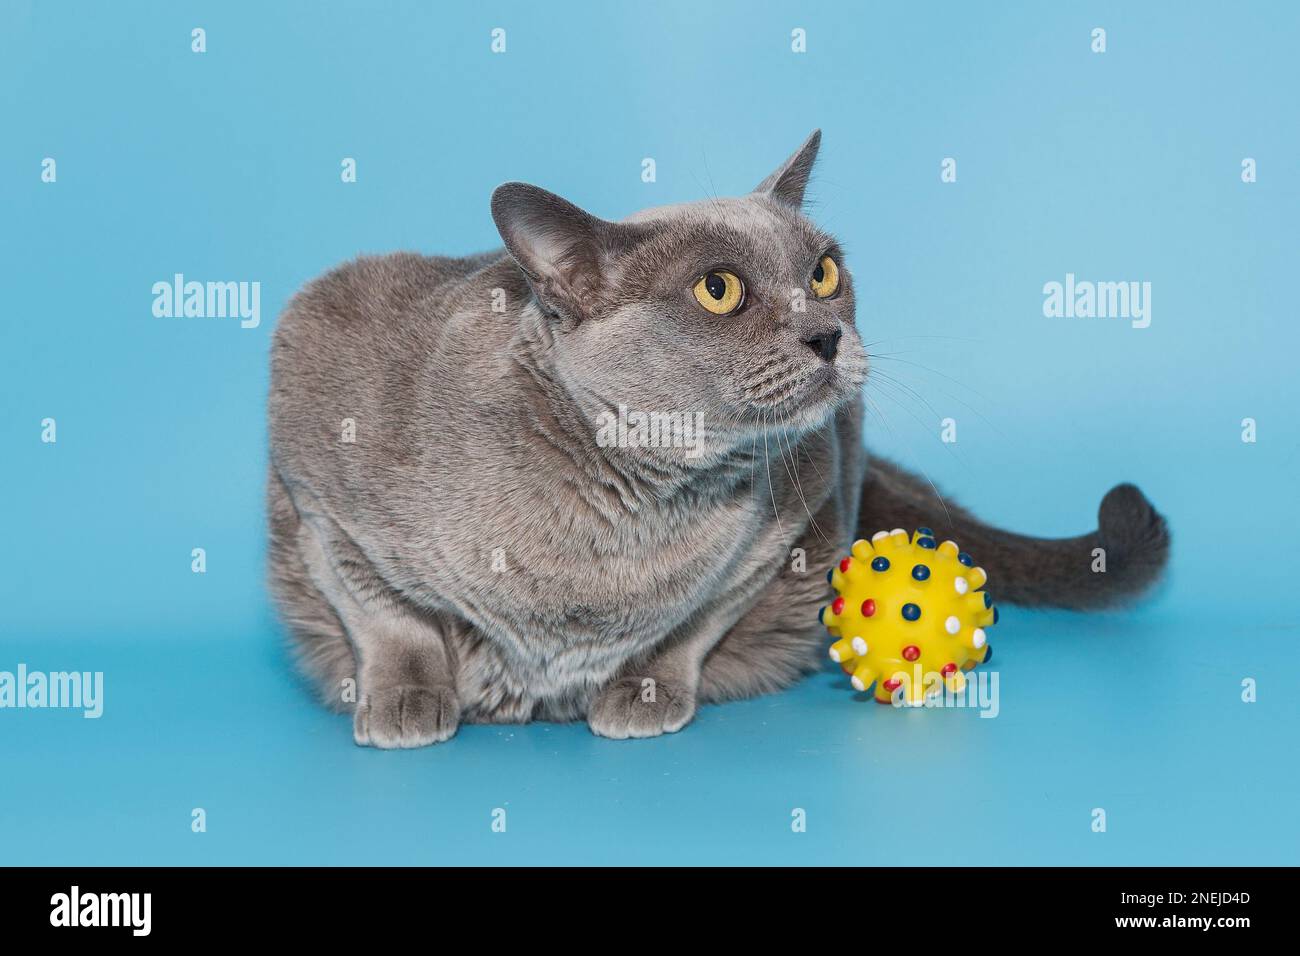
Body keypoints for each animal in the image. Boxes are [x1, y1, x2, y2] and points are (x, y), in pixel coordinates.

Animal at [263, 132, 1170, 749]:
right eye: (719, 291)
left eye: (825, 273)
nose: (825, 335)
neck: (635, 502)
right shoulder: (317, 478)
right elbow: (389, 614)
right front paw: (408, 700)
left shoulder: (795, 508)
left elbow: (691, 621)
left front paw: (643, 693)